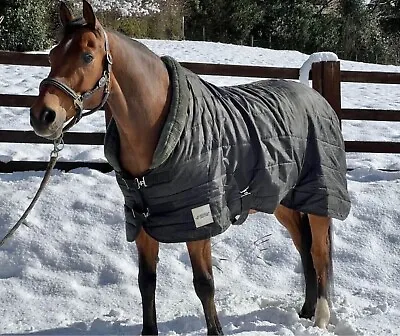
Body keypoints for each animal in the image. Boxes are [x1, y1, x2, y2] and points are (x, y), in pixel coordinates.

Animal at [29, 1, 350, 334]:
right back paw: (306, 310)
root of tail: (316, 98)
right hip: (282, 199)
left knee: (319, 252)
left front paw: (216, 330)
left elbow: (204, 284)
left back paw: (321, 317)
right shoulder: (142, 222)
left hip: (320, 199)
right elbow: (146, 282)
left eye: (87, 56)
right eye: (52, 55)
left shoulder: (199, 222)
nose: (43, 116)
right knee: (303, 248)